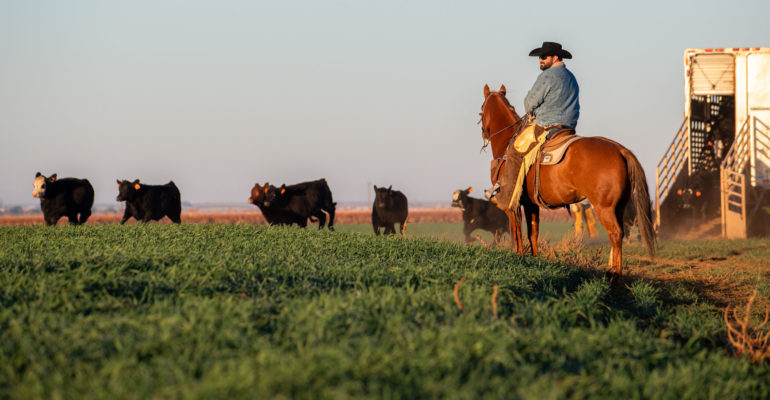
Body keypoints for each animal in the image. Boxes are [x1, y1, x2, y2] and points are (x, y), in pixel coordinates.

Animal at [476, 84, 652, 276]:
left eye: (481, 110)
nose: (483, 134)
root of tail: (620, 149)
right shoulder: (531, 203)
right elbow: (533, 232)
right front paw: (534, 259)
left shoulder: (512, 205)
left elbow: (516, 233)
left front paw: (518, 256)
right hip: (618, 207)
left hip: (604, 207)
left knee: (615, 233)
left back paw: (615, 274)